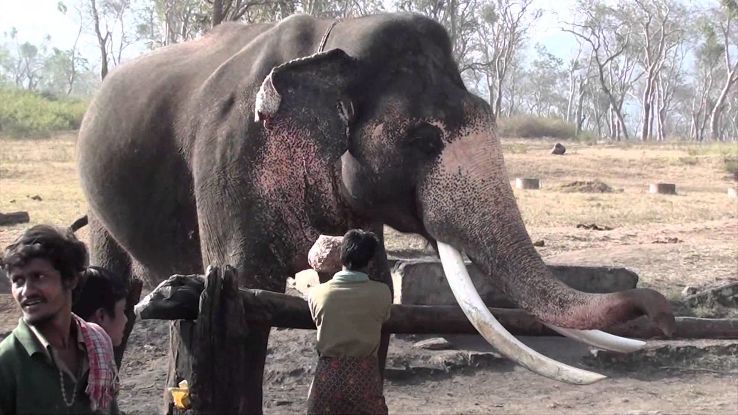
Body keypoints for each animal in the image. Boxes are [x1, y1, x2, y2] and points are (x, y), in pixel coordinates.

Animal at [76, 12, 676, 413]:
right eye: (424, 139)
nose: (662, 313)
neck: (333, 39)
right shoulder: (230, 156)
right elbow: (247, 290)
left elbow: (379, 294)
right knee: (116, 293)